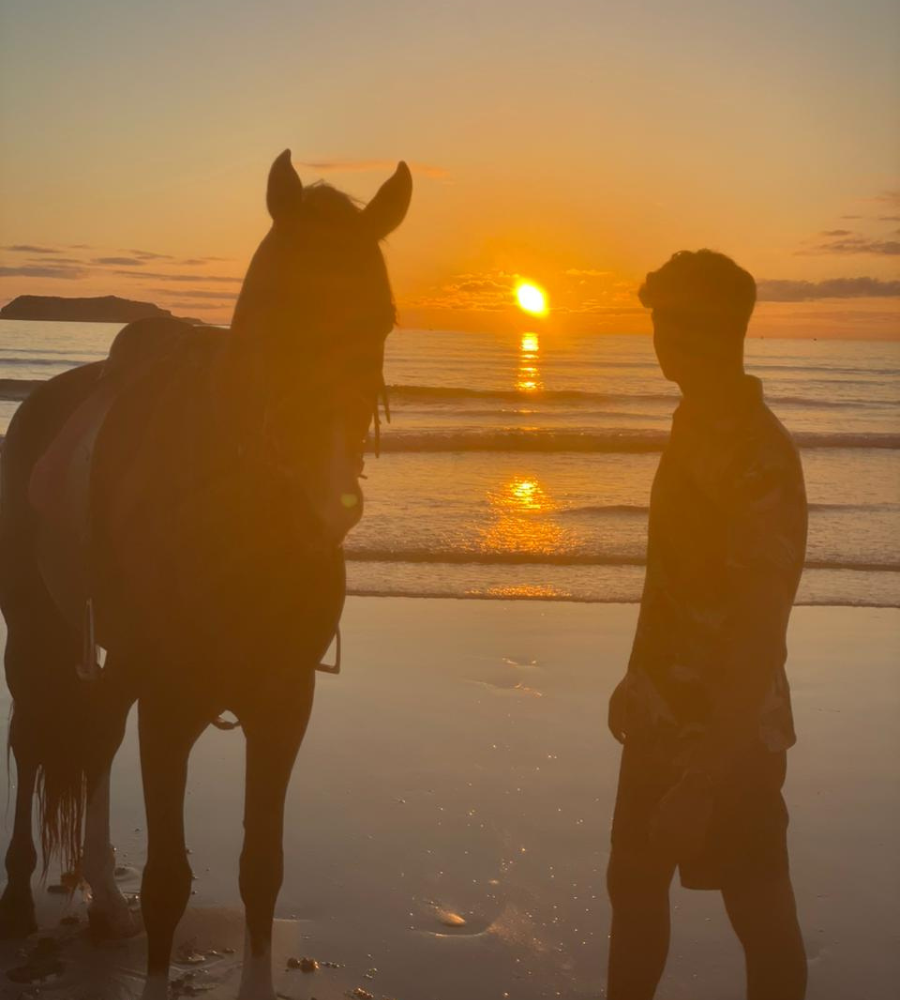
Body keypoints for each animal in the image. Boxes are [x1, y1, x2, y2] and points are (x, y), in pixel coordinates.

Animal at [0, 150, 414, 1000]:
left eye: (382, 318)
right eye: (273, 310)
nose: (330, 496)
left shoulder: (285, 703)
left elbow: (262, 870)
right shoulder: (170, 704)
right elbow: (168, 881)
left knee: (95, 735)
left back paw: (103, 900)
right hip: (34, 634)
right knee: (30, 738)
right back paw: (20, 894)